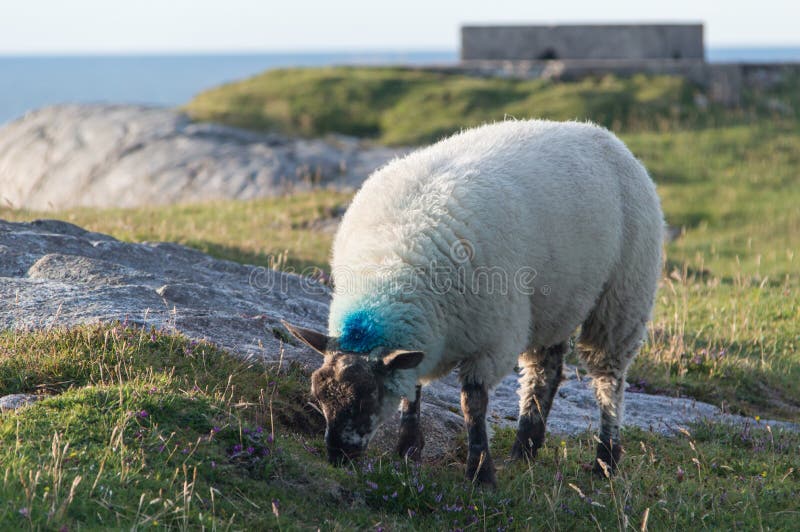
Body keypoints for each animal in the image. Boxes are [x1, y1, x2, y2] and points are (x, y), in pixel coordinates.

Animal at [282, 118, 664, 484]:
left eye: (367, 399)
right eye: (319, 396)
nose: (338, 457)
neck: (390, 271)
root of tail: (601, 133)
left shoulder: (492, 341)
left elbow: (473, 403)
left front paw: (480, 472)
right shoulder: (424, 334)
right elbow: (412, 389)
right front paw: (407, 451)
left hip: (623, 297)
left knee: (607, 378)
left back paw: (606, 459)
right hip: (555, 302)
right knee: (546, 370)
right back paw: (525, 448)